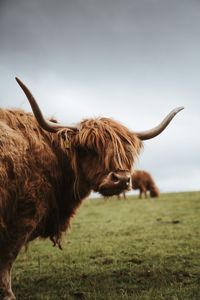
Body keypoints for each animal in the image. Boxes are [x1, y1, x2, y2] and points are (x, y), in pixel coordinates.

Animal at [0, 78, 184, 300]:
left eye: (126, 151)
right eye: (90, 149)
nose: (122, 179)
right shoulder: (22, 217)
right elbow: (7, 258)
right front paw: (8, 295)